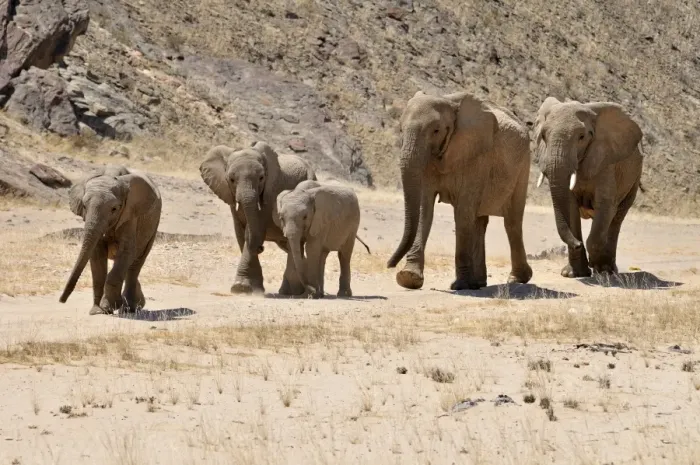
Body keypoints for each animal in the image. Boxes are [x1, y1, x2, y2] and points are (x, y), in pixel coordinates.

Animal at [59, 165, 162, 315]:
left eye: (114, 209)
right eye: (84, 206)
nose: (61, 300)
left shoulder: (130, 214)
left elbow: (126, 252)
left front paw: (110, 306)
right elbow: (96, 256)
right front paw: (97, 311)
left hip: (153, 226)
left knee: (136, 263)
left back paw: (129, 308)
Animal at [200, 141, 317, 295]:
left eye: (261, 178)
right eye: (231, 179)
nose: (261, 248)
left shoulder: (269, 194)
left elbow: (253, 232)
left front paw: (242, 287)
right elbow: (241, 235)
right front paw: (245, 288)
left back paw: (291, 292)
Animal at [386, 90, 533, 291]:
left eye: (436, 131)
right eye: (401, 129)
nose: (389, 264)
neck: (449, 103)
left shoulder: (476, 155)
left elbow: (462, 212)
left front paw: (460, 285)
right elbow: (425, 209)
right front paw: (408, 278)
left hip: (523, 165)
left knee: (512, 222)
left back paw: (517, 279)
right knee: (479, 222)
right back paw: (478, 283)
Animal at [533, 97, 643, 277]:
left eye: (582, 137)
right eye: (543, 135)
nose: (577, 244)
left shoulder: (606, 162)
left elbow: (604, 206)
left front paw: (598, 267)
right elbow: (570, 207)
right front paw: (572, 274)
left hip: (634, 179)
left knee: (616, 219)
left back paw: (609, 270)